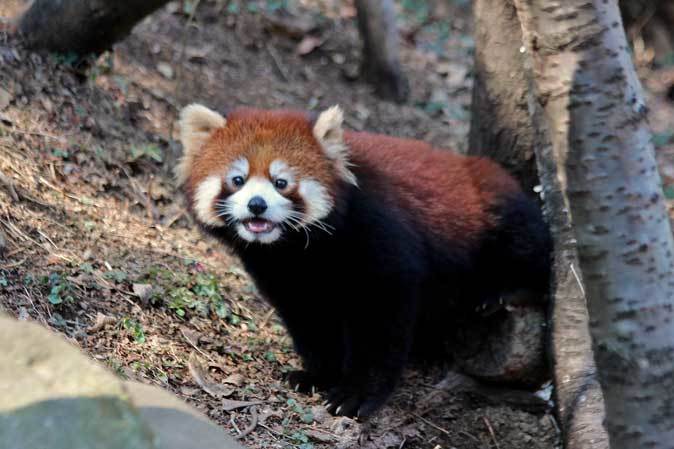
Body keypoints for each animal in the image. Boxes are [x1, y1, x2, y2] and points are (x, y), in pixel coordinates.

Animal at [176, 104, 548, 416]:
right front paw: (319, 374)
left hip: (494, 213)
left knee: (528, 247)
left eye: (281, 182)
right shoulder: (285, 276)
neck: (298, 251)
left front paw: (355, 395)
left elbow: (380, 323)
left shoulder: (377, 235)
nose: (256, 205)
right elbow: (311, 321)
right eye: (237, 180)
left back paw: (507, 293)